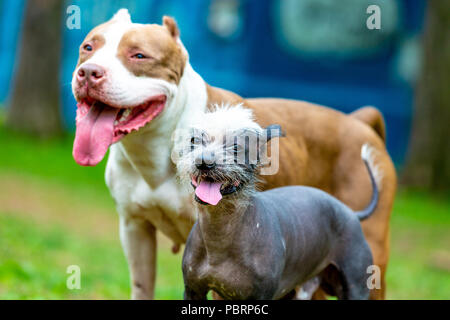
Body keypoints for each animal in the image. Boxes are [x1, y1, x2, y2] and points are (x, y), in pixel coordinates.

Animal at [176, 105, 380, 300]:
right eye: (194, 141)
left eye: (236, 148)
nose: (204, 161)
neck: (219, 235)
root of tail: (351, 212)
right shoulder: (193, 291)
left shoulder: (261, 295)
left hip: (355, 287)